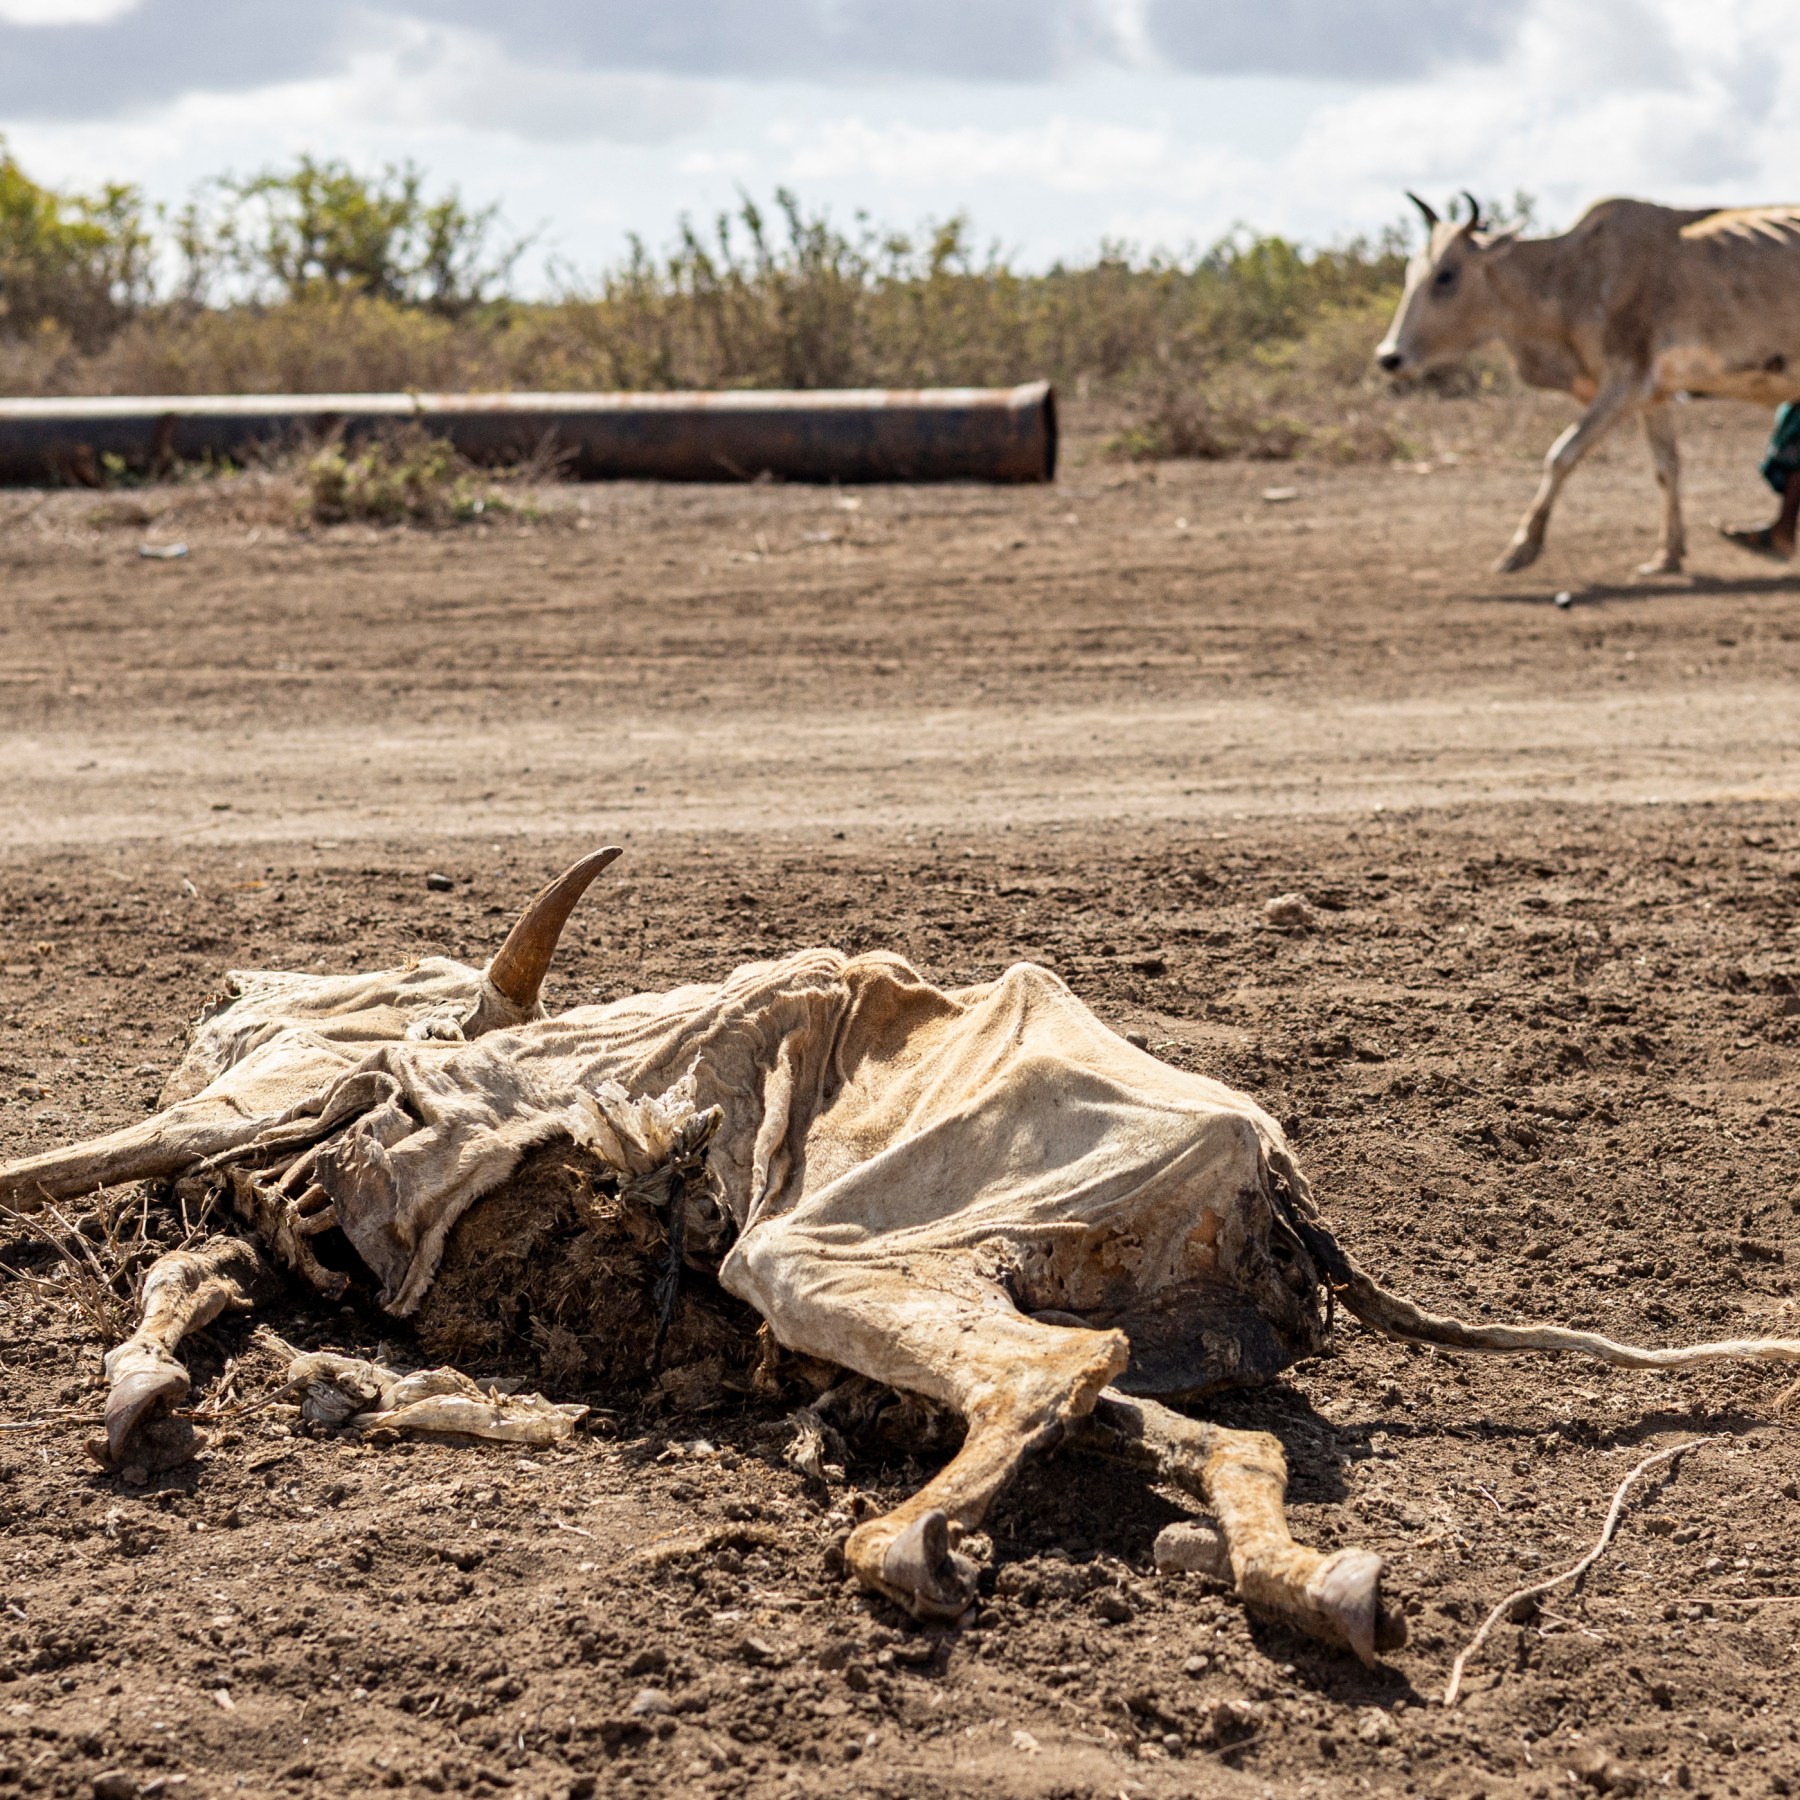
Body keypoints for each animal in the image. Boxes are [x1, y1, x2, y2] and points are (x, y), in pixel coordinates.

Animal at [5, 850, 1797, 1667]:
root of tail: (1272, 1173)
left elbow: (120, 1183)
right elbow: (204, 1258)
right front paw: (163, 1376)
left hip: (834, 1249)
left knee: (1051, 1372)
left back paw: (906, 1547)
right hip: (980, 1274)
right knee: (1191, 1430)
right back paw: (1301, 1579)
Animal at [1375, 191, 1800, 574]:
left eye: (1446, 275)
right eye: (1410, 272)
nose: (1388, 356)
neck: (1571, 275)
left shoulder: (1624, 384)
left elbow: (1561, 455)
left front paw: (1522, 547)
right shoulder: (1653, 394)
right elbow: (1666, 468)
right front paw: (1667, 554)